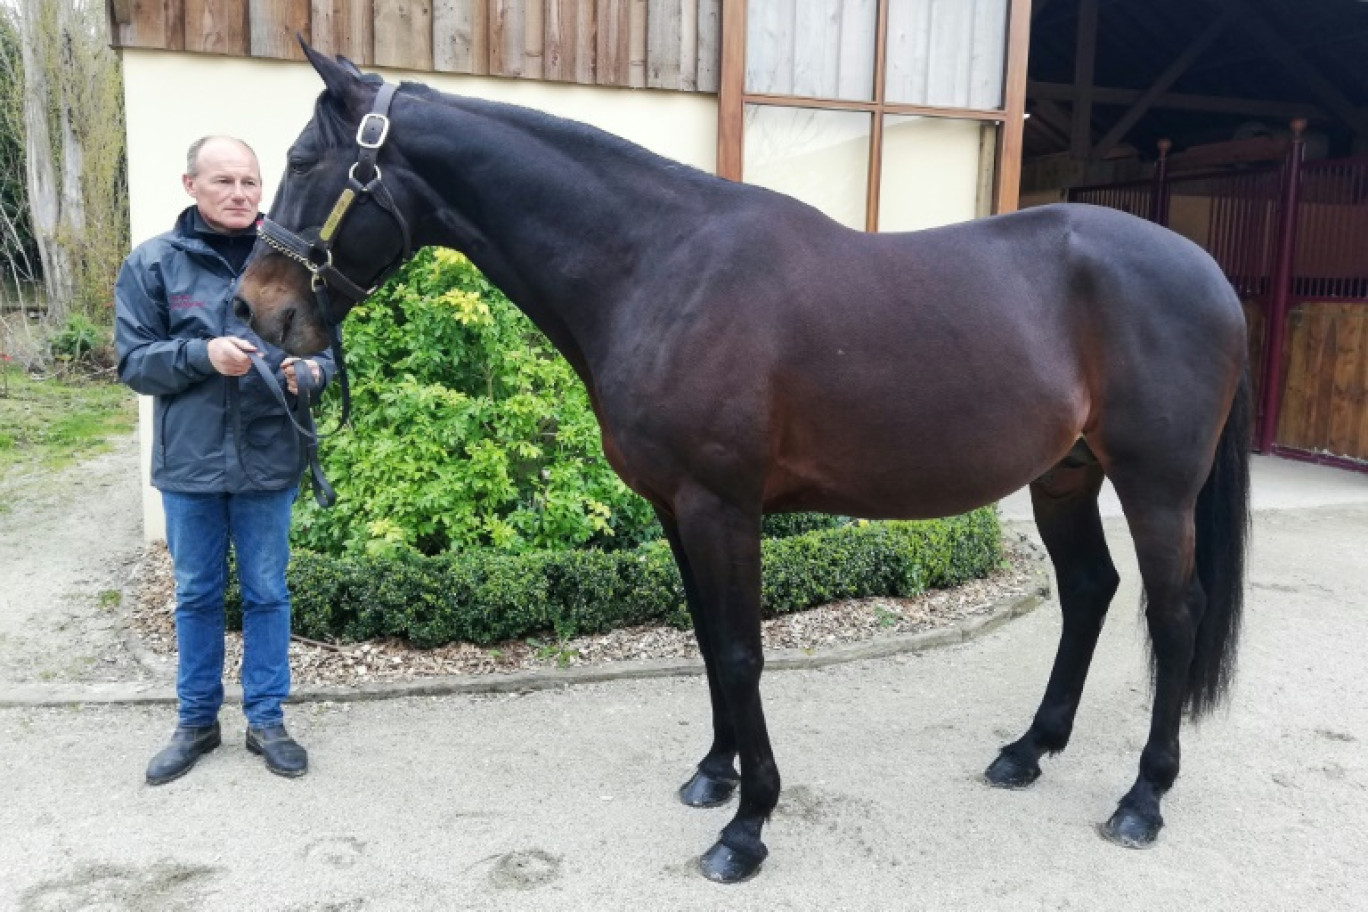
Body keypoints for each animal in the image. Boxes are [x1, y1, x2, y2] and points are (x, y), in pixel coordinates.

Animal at [238, 44, 1253, 886]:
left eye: (304, 162)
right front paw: (713, 776)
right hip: (1065, 476)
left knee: (1175, 613)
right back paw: (1028, 751)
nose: (256, 310)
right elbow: (706, 643)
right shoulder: (674, 507)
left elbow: (740, 650)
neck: (659, 269)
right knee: (1089, 591)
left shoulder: (721, 505)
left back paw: (1142, 798)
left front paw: (748, 827)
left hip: (1158, 487)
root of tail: (1209, 272)